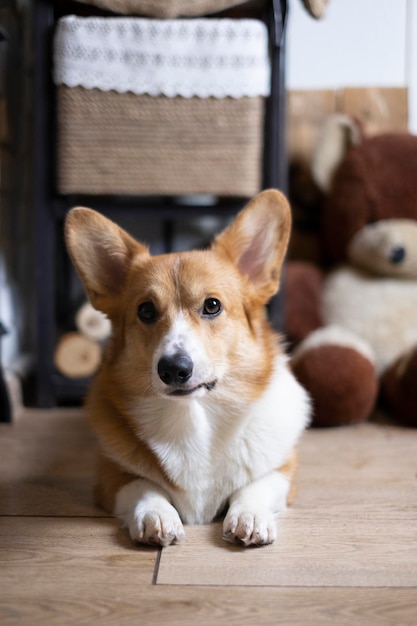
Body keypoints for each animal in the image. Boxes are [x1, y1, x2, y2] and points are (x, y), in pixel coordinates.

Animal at [66, 190, 308, 544]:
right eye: (146, 311)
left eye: (212, 305)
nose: (173, 369)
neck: (194, 417)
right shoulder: (110, 475)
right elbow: (142, 486)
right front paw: (156, 515)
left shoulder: (283, 470)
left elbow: (255, 485)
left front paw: (249, 515)